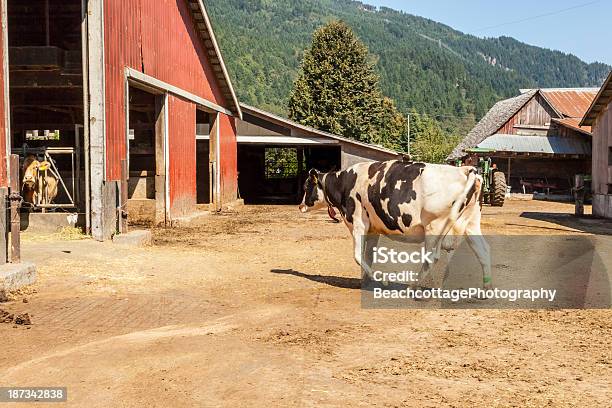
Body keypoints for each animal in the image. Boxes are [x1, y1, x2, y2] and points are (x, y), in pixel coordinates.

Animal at [298, 159, 492, 290]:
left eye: (307, 186)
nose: (300, 206)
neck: (345, 183)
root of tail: (466, 169)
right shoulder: (373, 229)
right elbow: (368, 255)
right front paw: (366, 281)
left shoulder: (358, 223)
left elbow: (357, 255)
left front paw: (381, 279)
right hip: (471, 224)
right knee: (483, 251)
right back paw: (486, 290)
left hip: (434, 227)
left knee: (432, 258)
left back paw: (413, 287)